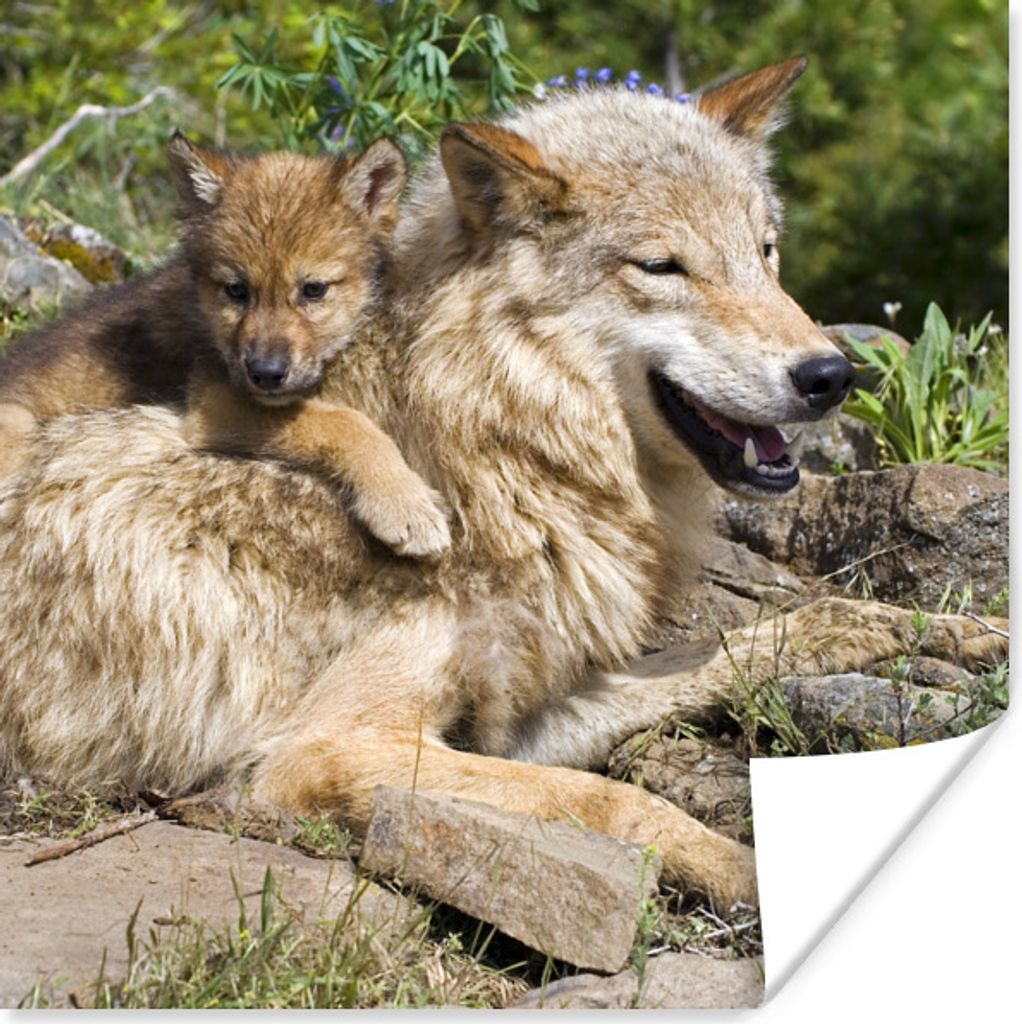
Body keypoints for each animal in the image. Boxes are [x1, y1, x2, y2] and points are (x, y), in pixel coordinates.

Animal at [0, 135, 449, 557]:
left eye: (314, 290)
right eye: (236, 290)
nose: (266, 373)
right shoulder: (215, 401)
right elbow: (344, 423)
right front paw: (403, 501)